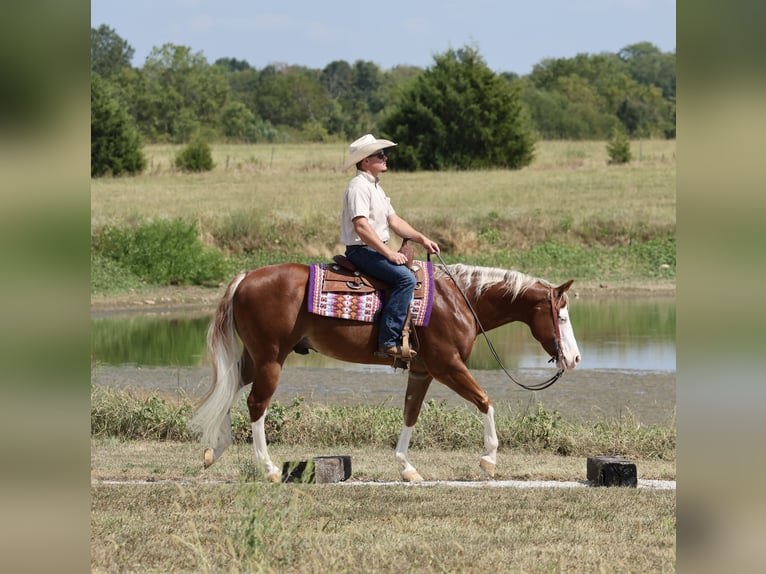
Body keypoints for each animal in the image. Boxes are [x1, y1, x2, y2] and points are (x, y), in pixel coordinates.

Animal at [188, 261, 581, 482]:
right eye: (561, 316)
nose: (575, 359)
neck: (459, 299)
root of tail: (246, 278)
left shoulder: (422, 371)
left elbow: (410, 414)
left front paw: (407, 468)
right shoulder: (447, 365)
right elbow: (485, 402)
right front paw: (489, 460)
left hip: (255, 359)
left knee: (230, 388)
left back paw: (214, 450)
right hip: (271, 358)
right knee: (256, 404)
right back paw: (268, 469)